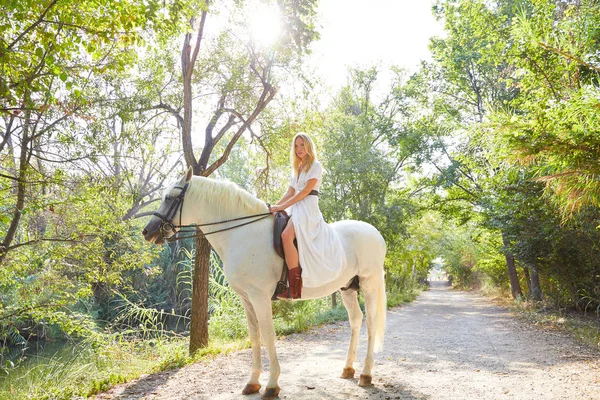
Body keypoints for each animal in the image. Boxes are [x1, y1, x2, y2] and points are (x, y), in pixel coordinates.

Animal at [142, 168, 386, 396]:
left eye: (170, 198)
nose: (147, 231)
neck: (242, 233)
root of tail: (375, 232)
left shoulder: (260, 297)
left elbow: (268, 334)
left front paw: (272, 384)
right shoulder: (246, 298)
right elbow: (254, 335)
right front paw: (253, 382)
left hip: (369, 283)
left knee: (371, 323)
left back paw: (366, 373)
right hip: (347, 288)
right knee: (356, 320)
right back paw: (348, 369)